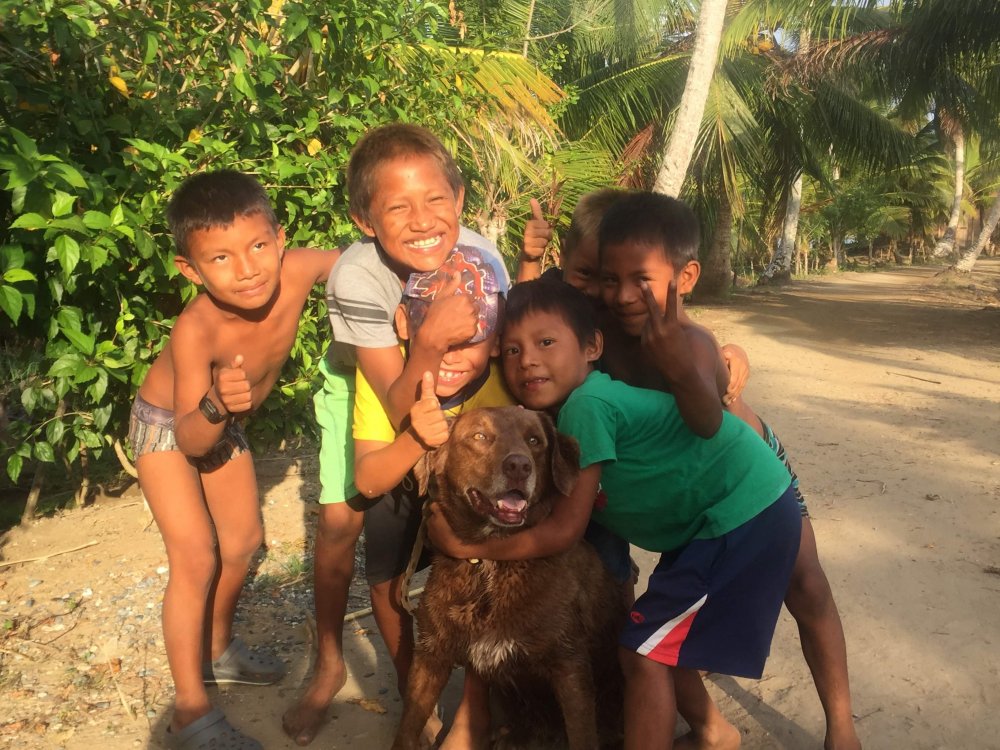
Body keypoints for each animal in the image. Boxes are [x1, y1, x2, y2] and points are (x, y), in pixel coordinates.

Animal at [392, 412, 620, 750]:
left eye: (535, 440)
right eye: (480, 437)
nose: (519, 466)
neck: (490, 563)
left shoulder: (570, 666)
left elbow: (582, 736)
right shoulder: (431, 654)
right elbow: (407, 728)